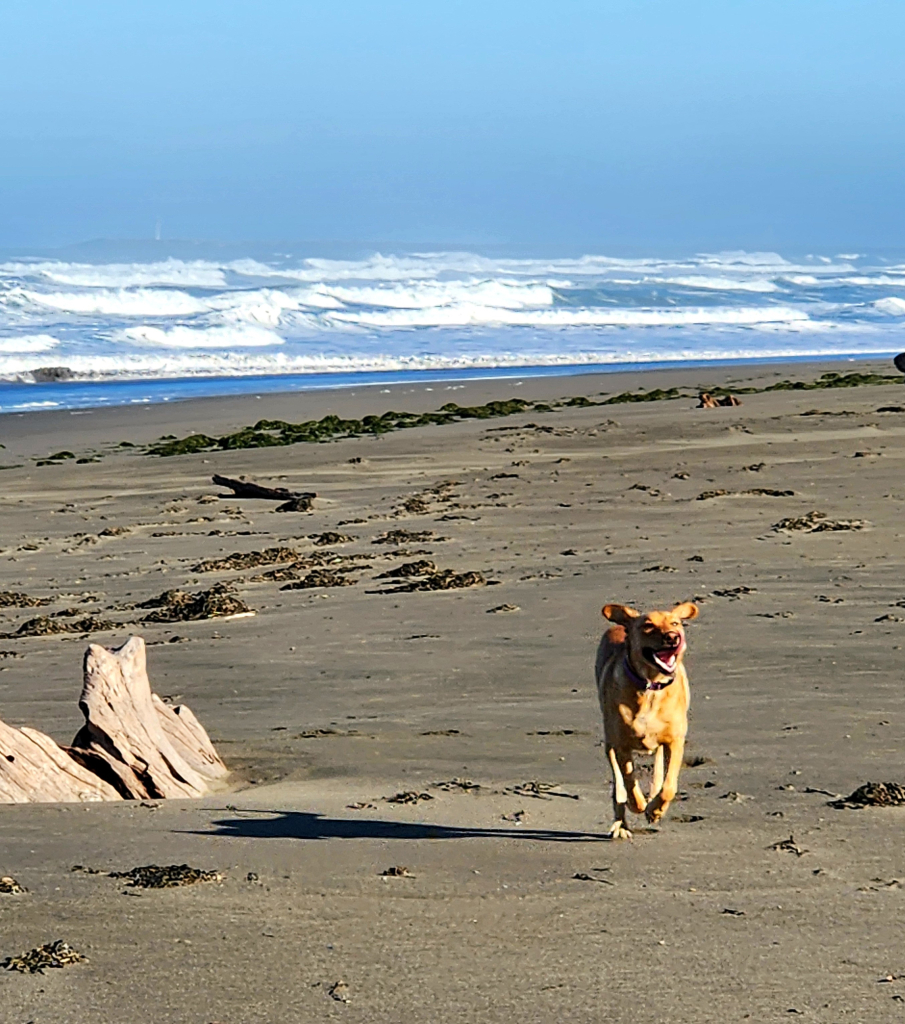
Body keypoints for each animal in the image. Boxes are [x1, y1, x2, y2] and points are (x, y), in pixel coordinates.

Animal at [597, 602, 704, 835]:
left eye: (675, 623)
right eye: (647, 626)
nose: (673, 637)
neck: (651, 687)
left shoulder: (675, 740)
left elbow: (669, 785)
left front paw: (655, 810)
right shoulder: (621, 744)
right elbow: (628, 779)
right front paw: (637, 804)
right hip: (609, 741)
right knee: (618, 784)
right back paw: (621, 823)